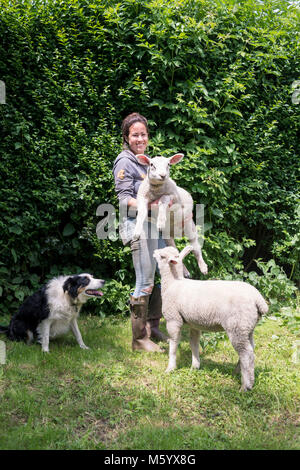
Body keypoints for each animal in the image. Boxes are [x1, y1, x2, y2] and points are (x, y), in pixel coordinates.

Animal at [154, 244, 268, 392]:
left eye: (162, 256)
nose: (154, 252)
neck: (173, 282)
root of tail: (258, 299)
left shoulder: (173, 320)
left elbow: (173, 344)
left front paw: (170, 368)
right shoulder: (194, 324)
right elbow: (194, 344)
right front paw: (195, 366)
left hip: (236, 326)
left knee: (246, 353)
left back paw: (245, 386)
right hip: (247, 327)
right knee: (251, 349)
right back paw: (239, 372)